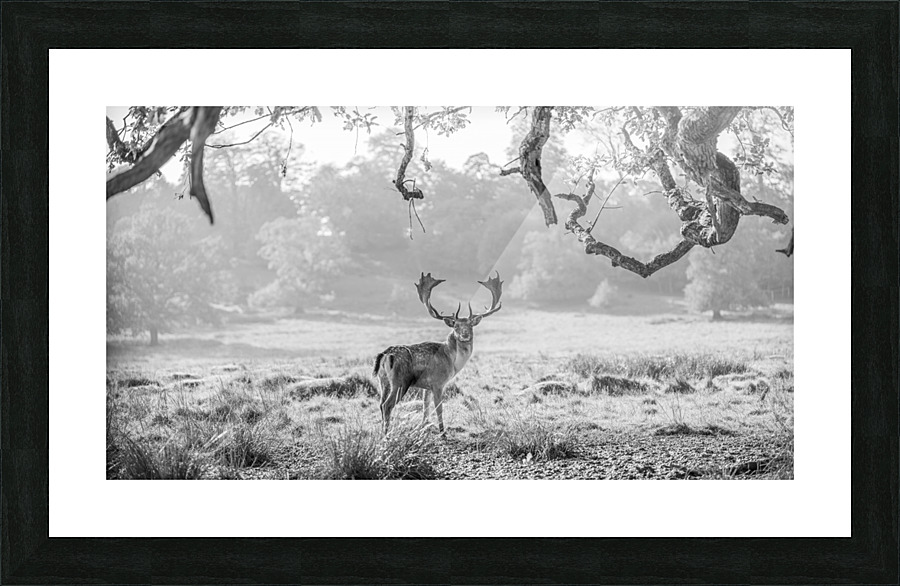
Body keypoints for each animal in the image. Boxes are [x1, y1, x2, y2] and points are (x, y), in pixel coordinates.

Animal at [373, 272, 503, 435]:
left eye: (470, 325)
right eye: (456, 326)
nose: (465, 334)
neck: (452, 361)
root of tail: (384, 355)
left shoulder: (426, 386)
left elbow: (425, 407)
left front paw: (423, 427)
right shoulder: (438, 382)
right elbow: (439, 408)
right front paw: (442, 431)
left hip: (383, 380)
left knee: (380, 404)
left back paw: (381, 432)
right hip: (400, 381)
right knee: (387, 405)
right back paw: (387, 434)